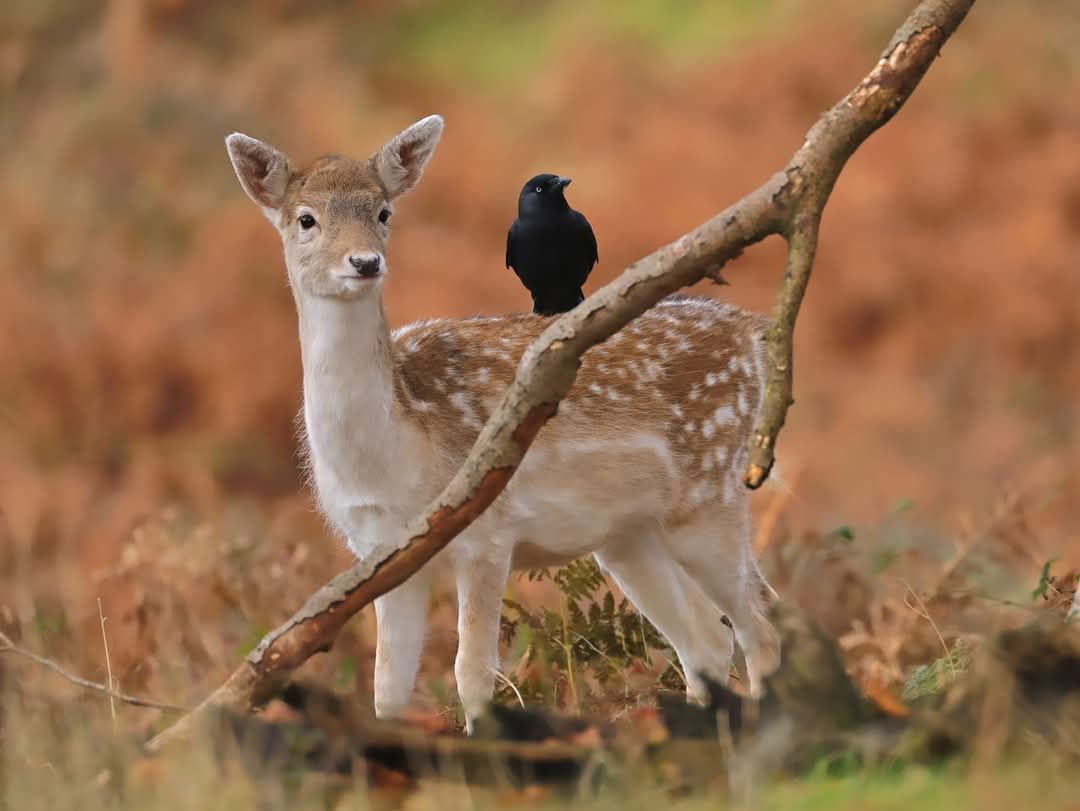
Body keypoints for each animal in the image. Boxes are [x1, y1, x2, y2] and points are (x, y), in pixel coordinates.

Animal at [225, 115, 781, 732]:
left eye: (384, 212)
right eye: (306, 218)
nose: (365, 262)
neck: (397, 452)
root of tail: (750, 333)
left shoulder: (487, 532)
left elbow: (472, 674)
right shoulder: (381, 554)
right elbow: (386, 688)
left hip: (711, 489)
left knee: (761, 621)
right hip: (630, 536)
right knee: (707, 636)